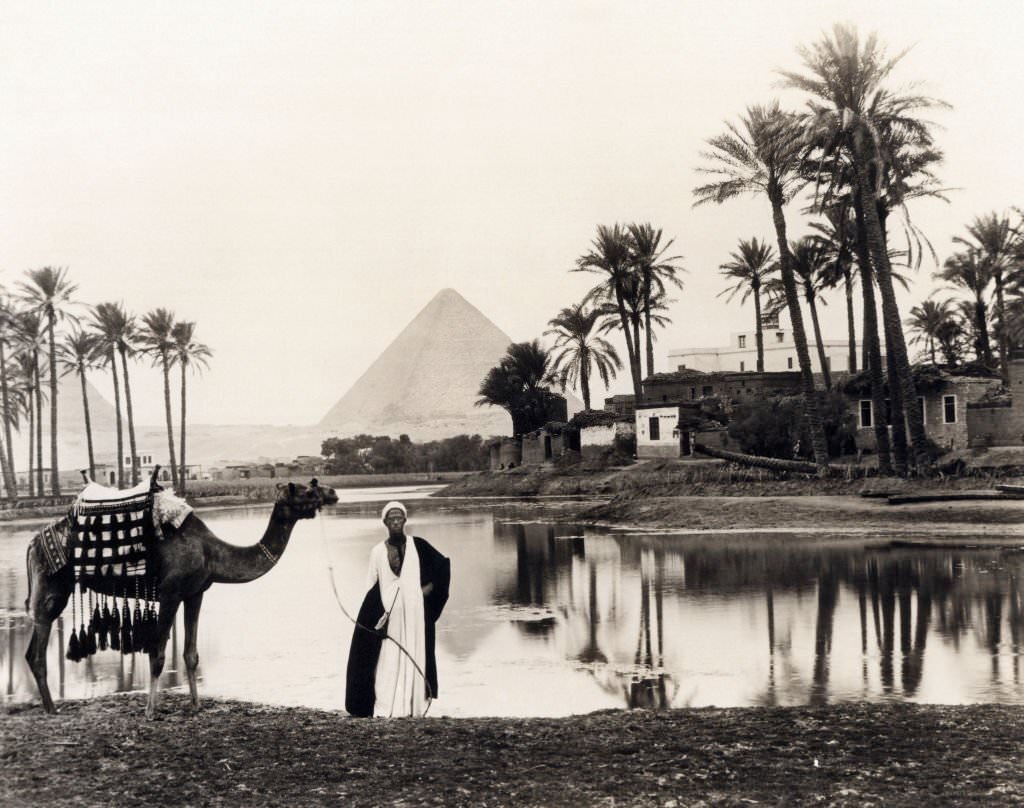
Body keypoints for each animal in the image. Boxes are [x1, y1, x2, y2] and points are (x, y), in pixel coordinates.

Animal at [24, 475, 337, 716]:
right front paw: (151, 711)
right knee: (38, 650)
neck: (211, 552)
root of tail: (32, 543)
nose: (333, 493)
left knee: (30, 652)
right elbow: (158, 654)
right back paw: (52, 709)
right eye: (308, 490)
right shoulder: (170, 593)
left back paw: (50, 706)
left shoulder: (195, 593)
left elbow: (190, 654)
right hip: (50, 588)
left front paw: (196, 706)